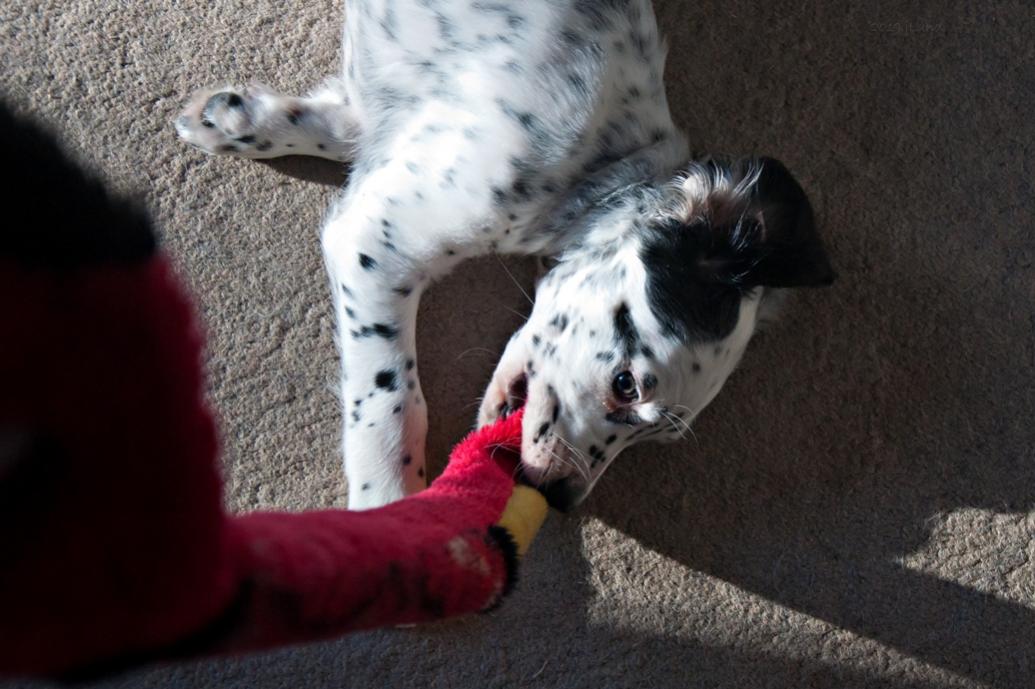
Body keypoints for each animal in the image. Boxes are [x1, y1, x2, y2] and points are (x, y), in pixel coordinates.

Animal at [175, 0, 832, 504]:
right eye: (626, 386)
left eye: (659, 438)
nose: (561, 499)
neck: (595, 171)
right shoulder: (375, 242)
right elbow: (392, 398)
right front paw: (385, 499)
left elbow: (343, 124)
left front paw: (235, 119)